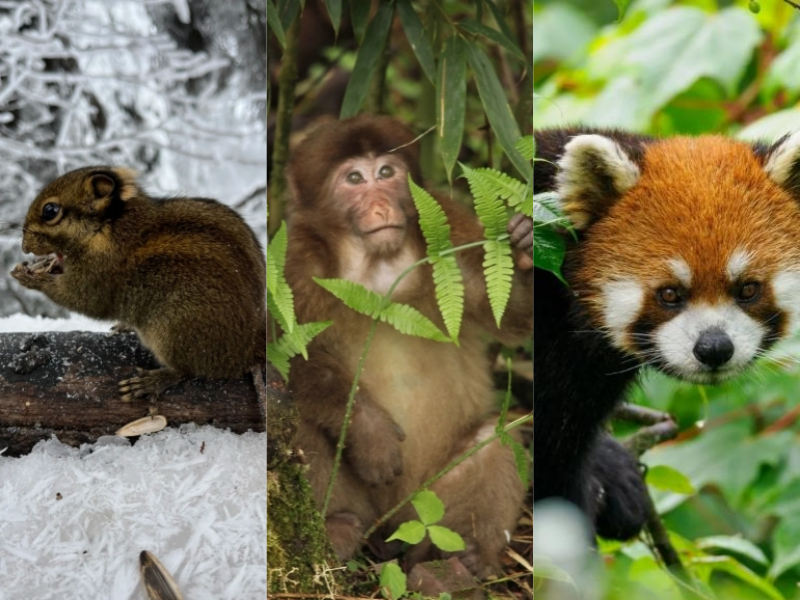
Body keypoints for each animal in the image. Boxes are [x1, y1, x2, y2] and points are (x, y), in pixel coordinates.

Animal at [10, 167, 266, 400]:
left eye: (50, 211)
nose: (24, 245)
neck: (106, 228)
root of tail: (247, 351)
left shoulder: (97, 275)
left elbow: (81, 300)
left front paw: (33, 278)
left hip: (174, 328)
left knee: (187, 371)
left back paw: (152, 382)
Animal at [282, 114, 533, 577]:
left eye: (386, 172)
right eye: (354, 179)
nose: (381, 206)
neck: (377, 265)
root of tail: (388, 533)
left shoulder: (451, 230)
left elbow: (507, 316)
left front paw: (524, 246)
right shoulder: (295, 263)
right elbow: (287, 357)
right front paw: (371, 432)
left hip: (426, 504)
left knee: (497, 435)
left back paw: (459, 564)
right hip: (367, 507)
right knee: (299, 417)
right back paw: (338, 530)